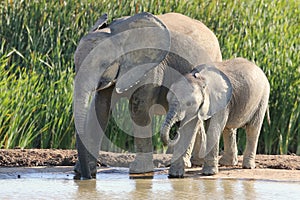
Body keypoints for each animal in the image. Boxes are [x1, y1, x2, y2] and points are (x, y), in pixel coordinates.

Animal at [73, 11, 221, 179]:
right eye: (75, 65)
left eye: (104, 64)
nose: (86, 177)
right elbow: (100, 108)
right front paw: (84, 170)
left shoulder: (151, 66)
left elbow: (138, 109)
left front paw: (139, 170)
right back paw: (194, 162)